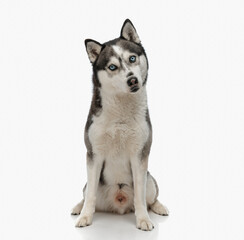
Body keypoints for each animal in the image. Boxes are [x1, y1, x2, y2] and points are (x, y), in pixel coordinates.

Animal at [71, 19, 169, 231]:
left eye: (132, 58)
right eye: (112, 67)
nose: (132, 80)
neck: (121, 113)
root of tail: (119, 198)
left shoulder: (140, 154)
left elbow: (140, 197)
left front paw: (143, 219)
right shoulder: (94, 154)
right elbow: (90, 196)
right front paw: (85, 217)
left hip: (150, 180)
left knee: (150, 197)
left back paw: (159, 207)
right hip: (88, 184)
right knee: (86, 193)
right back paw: (78, 207)